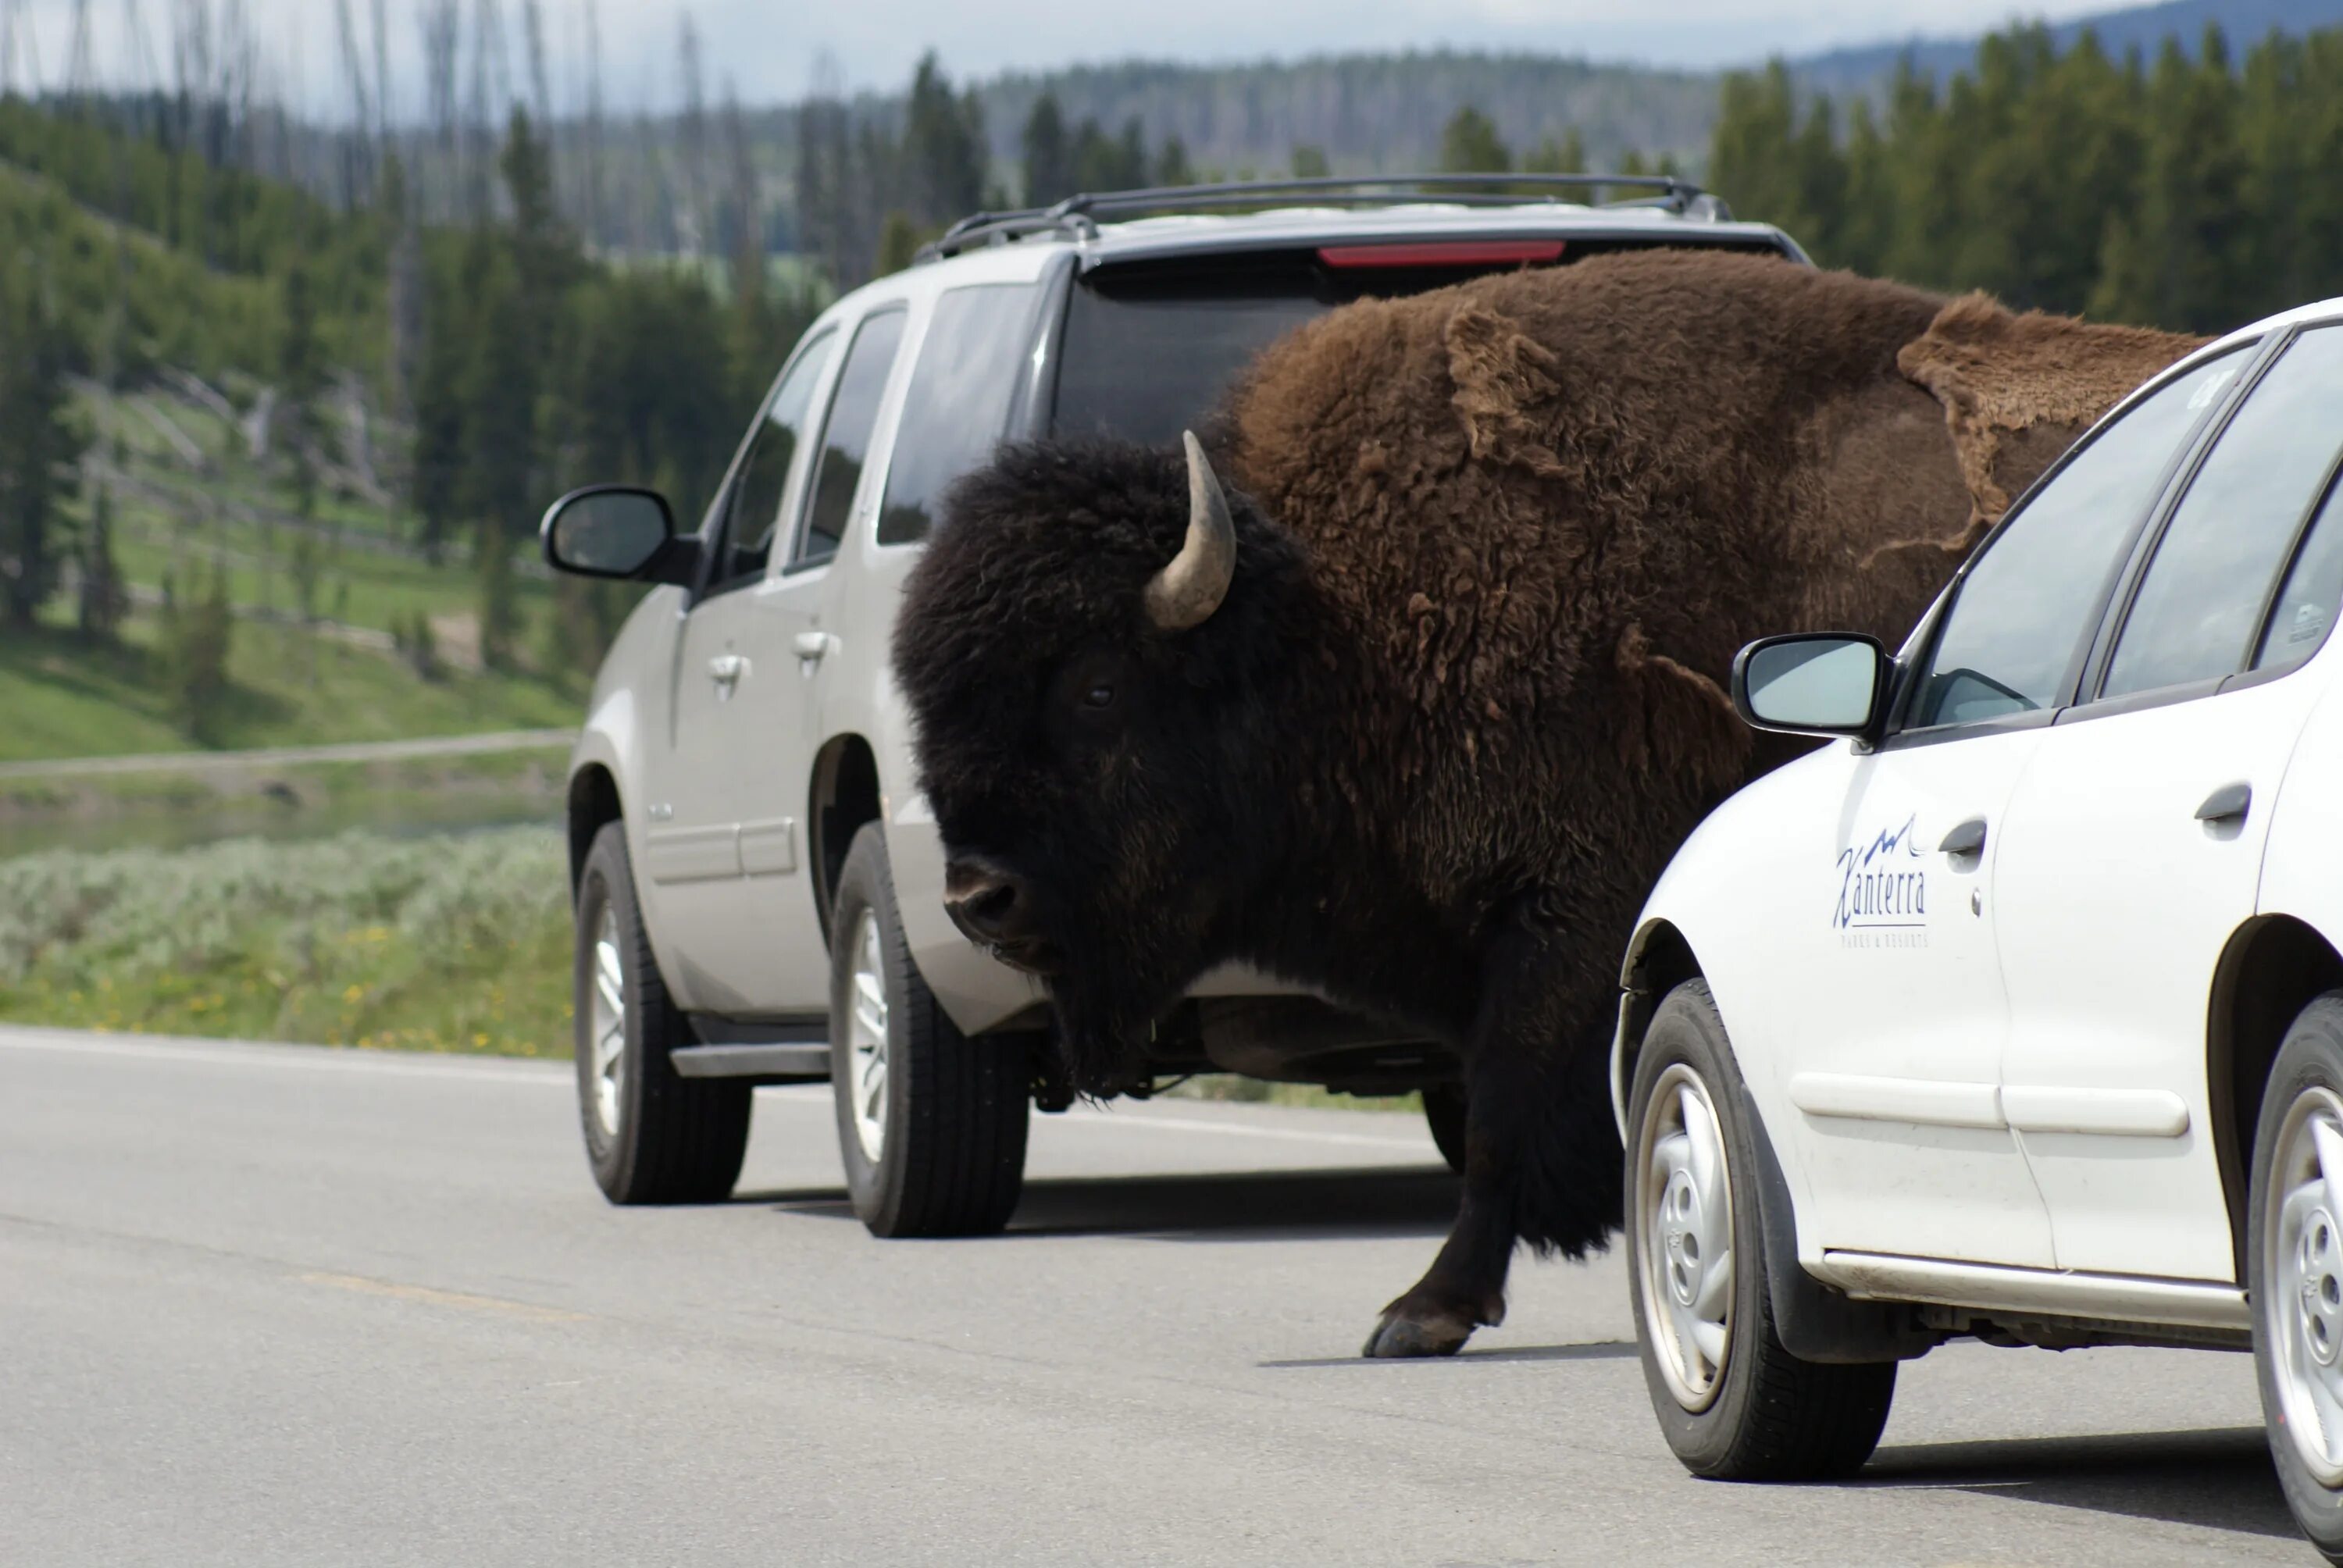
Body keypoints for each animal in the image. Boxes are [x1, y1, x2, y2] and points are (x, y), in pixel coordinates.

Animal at [886, 251, 2202, 1349]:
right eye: (932, 700)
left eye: (1098, 686)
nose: (976, 899)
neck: (1325, 615)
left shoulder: (1566, 918)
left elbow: (1501, 1122)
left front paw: (1423, 1311)